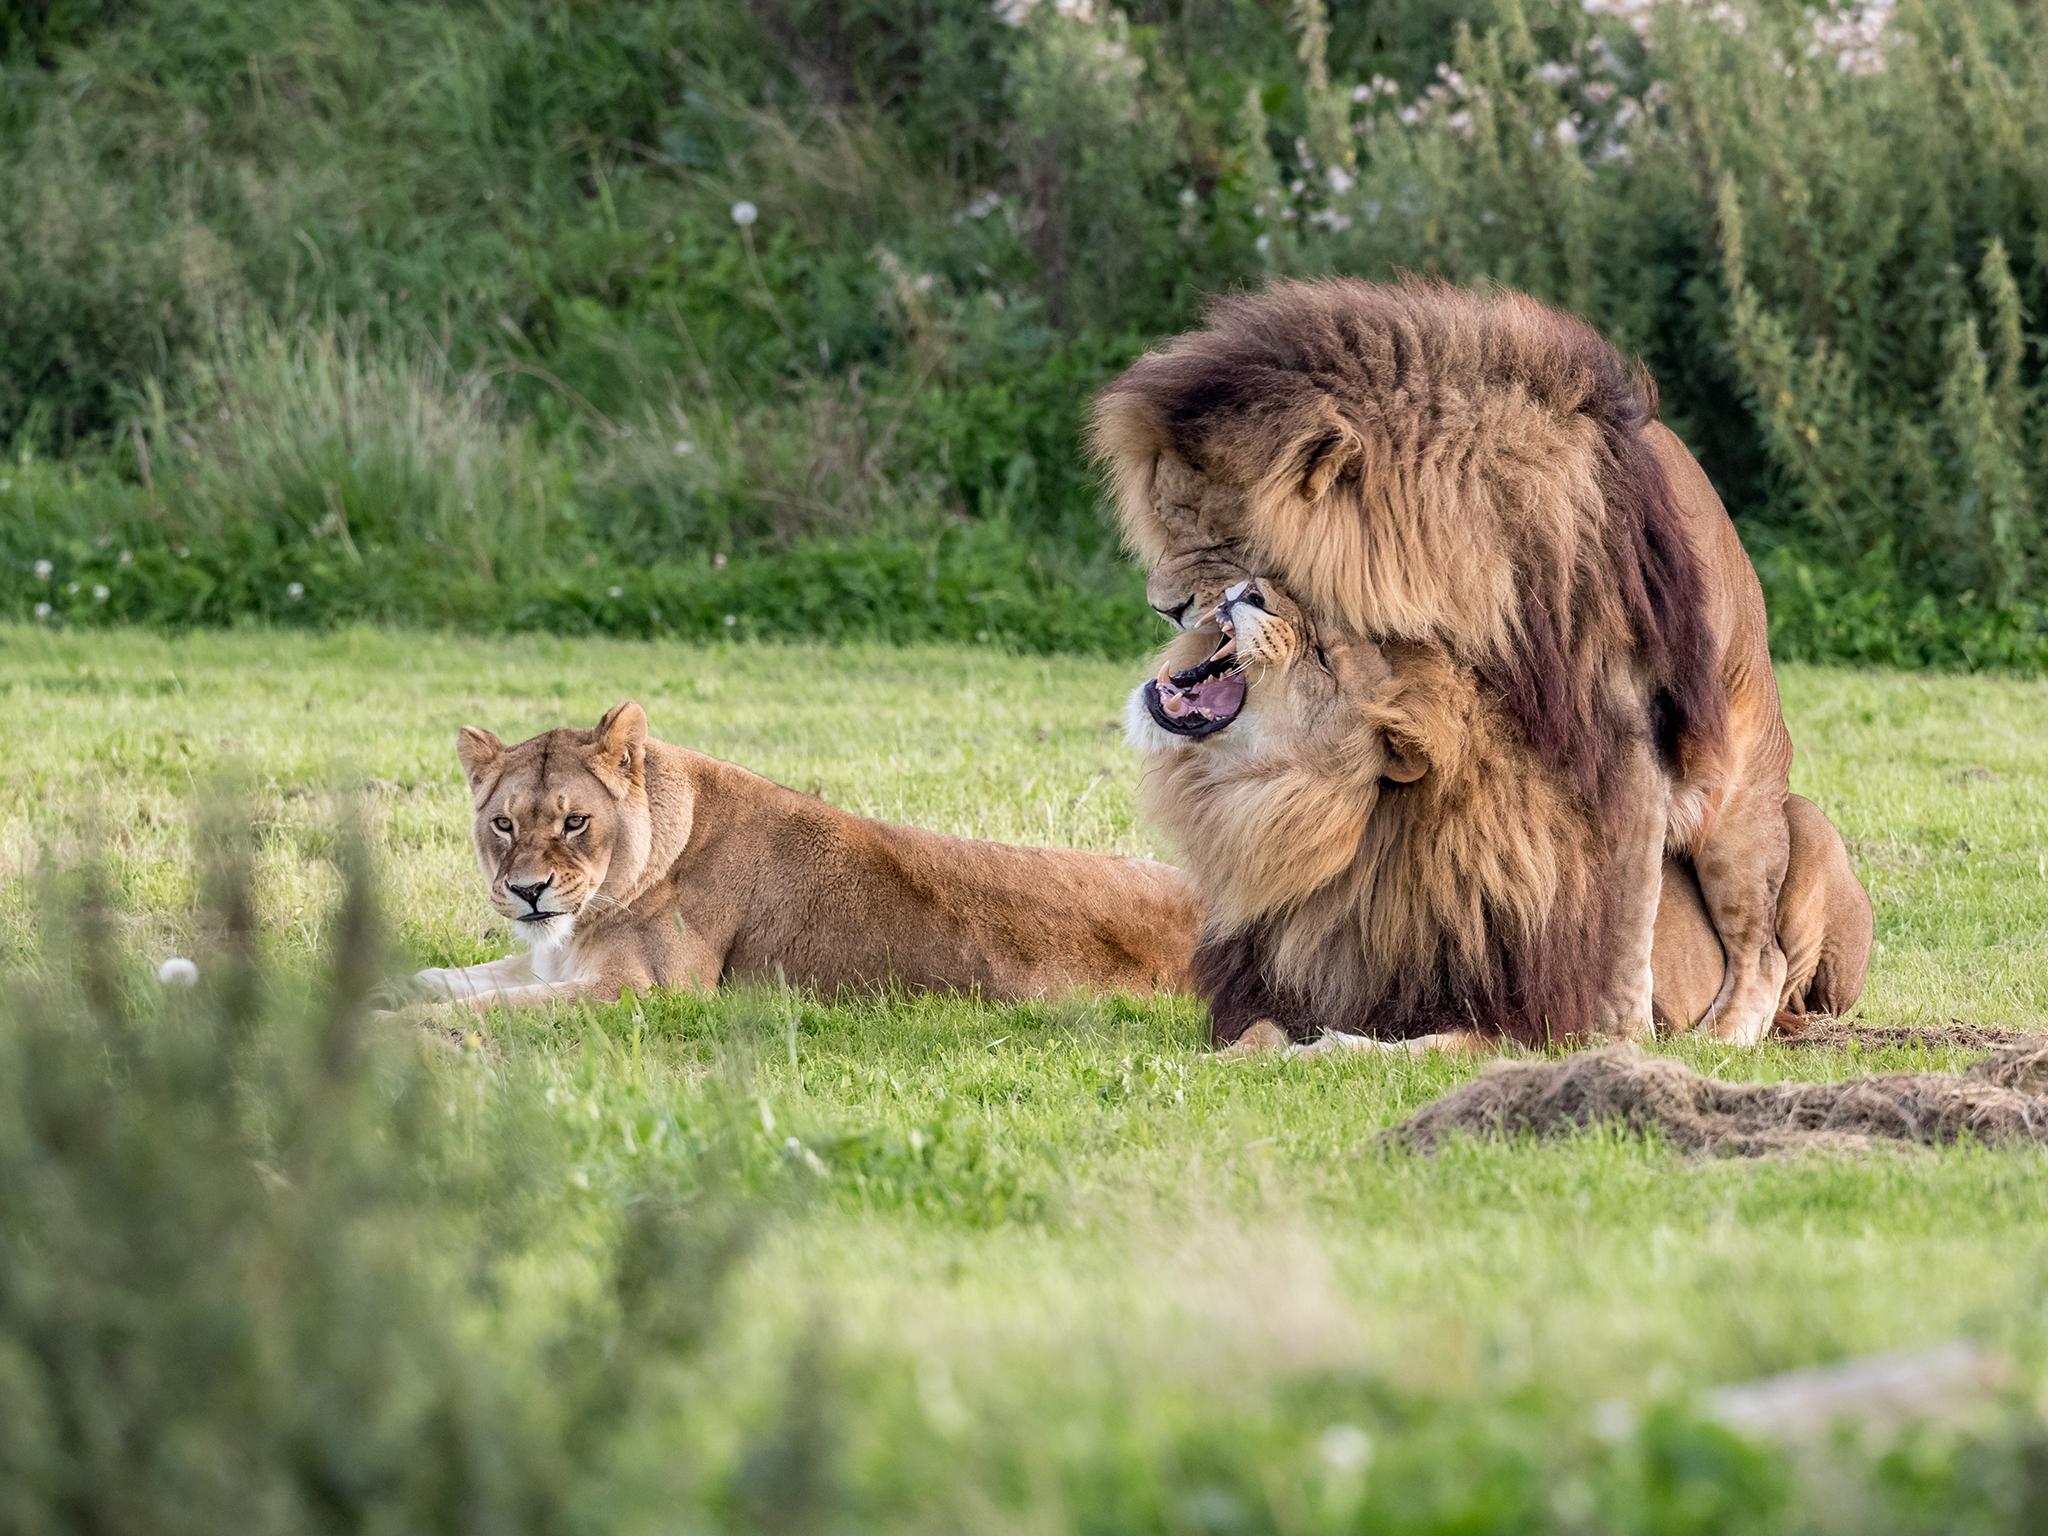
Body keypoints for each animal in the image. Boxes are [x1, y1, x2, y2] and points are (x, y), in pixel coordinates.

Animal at [403, 704, 1196, 1015]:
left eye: (575, 822)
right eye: (503, 823)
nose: (528, 891)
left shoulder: (644, 990)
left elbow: (498, 1006)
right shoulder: (554, 959)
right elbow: (448, 979)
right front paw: (397, 988)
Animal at [1138, 581, 1875, 1056]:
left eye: (1323, 656)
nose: (1250, 588)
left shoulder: (1529, 1024)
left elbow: (1405, 1048)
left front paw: (1326, 1049)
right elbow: (1254, 1035)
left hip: (1796, 833)